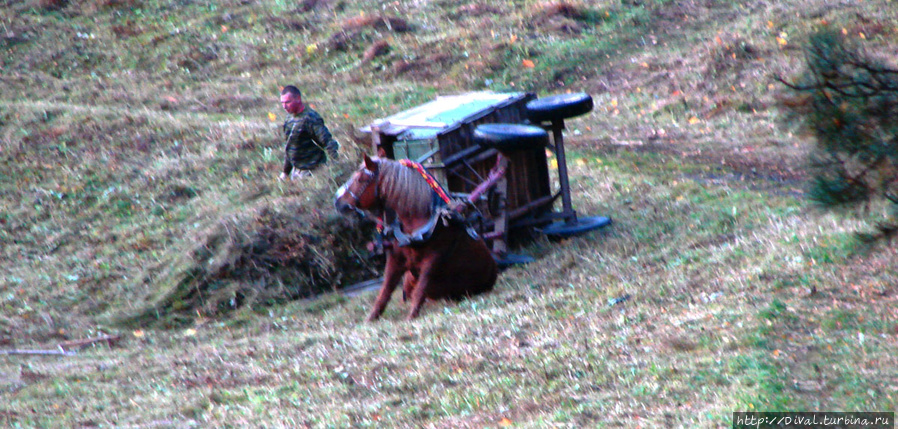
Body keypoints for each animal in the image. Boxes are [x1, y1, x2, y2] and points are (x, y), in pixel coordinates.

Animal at [334, 155, 496, 320]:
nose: (337, 201)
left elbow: (421, 288)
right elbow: (385, 291)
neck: (415, 229)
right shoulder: (394, 260)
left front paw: (410, 317)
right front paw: (371, 318)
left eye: (360, 179)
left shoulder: (432, 260)